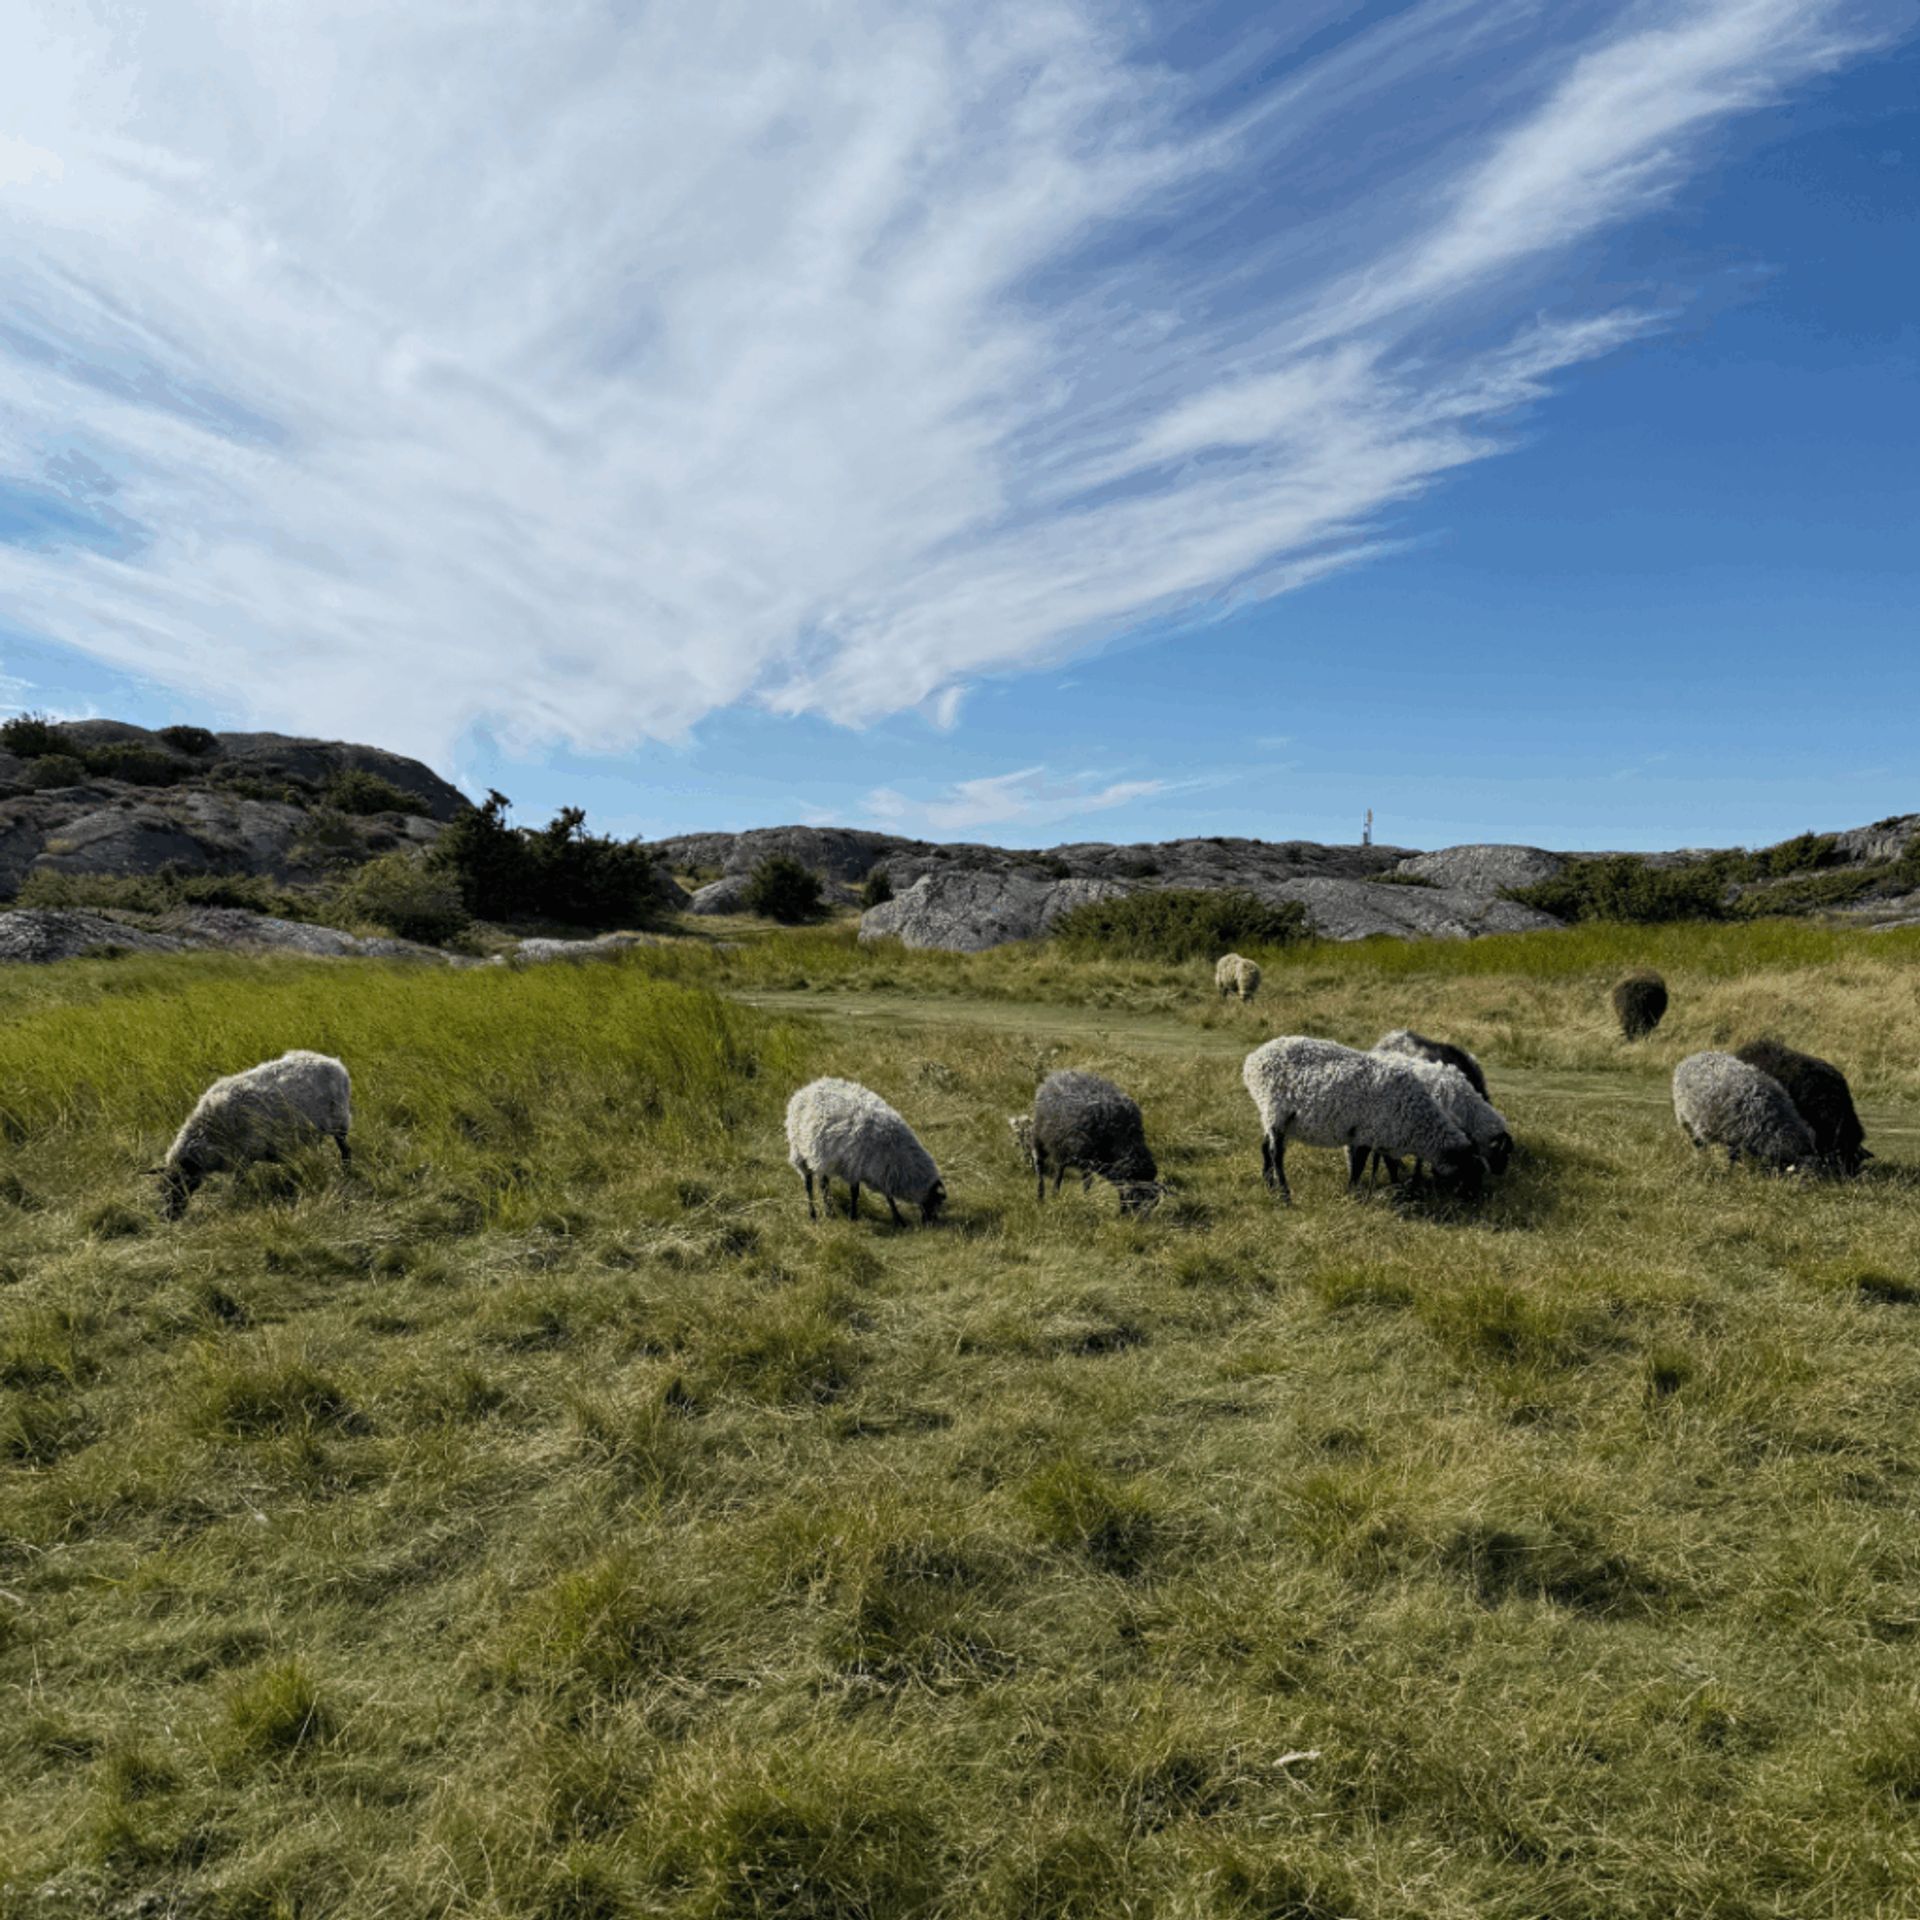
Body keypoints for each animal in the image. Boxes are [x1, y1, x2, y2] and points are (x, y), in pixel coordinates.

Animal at [158, 1050, 352, 1219]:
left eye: (180, 1184)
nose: (169, 1217)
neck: (210, 1131)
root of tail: (335, 1063)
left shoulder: (244, 1157)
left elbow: (238, 1184)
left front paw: (236, 1202)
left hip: (339, 1119)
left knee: (345, 1150)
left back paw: (346, 1172)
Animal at [785, 1077, 946, 1225]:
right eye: (936, 1201)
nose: (931, 1222)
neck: (898, 1155)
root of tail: (806, 1088)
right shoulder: (856, 1167)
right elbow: (855, 1192)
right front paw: (853, 1216)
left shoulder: (881, 1171)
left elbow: (888, 1196)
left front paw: (898, 1219)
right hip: (800, 1151)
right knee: (809, 1184)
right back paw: (814, 1214)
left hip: (821, 1158)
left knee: (823, 1183)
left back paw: (829, 1212)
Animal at [1028, 1069, 1160, 1215]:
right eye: (1136, 1195)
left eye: (1153, 1202)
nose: (1137, 1219)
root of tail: (1056, 1075)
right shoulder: (1065, 1153)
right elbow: (1059, 1176)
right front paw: (1055, 1197)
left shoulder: (1088, 1162)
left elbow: (1087, 1182)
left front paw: (1087, 1200)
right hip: (1040, 1138)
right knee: (1040, 1165)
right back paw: (1040, 1196)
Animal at [1242, 1036, 1487, 1205]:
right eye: (1469, 1172)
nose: (1474, 1202)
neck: (1417, 1121)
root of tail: (1253, 1059)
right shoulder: (1364, 1134)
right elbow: (1359, 1166)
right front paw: (1352, 1193)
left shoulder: (1386, 1137)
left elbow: (1390, 1166)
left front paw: (1397, 1190)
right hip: (1275, 1110)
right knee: (1275, 1153)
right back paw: (1284, 1194)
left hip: (1274, 1117)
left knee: (1265, 1148)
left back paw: (1269, 1185)